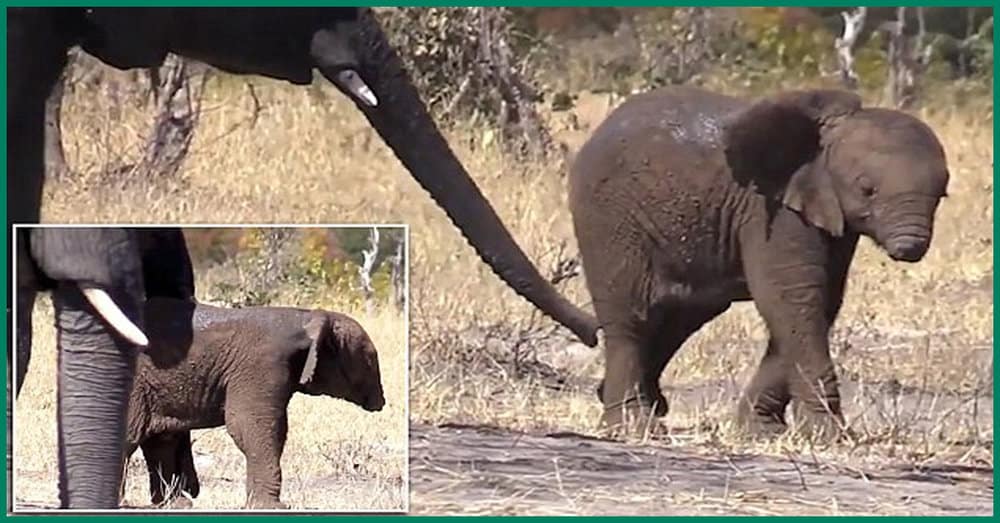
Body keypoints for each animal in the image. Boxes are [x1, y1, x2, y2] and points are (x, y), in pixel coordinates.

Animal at [121, 297, 386, 509]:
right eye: (370, 358)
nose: (381, 402)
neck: (306, 317)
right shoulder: (262, 365)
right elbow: (251, 426)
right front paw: (273, 508)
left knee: (160, 441)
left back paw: (175, 505)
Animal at [568, 86, 950, 437]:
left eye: (942, 195)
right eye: (867, 189)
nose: (909, 248)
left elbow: (820, 302)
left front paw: (761, 431)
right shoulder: (770, 211)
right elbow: (791, 297)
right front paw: (829, 436)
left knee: (680, 315)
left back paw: (636, 404)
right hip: (607, 216)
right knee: (631, 315)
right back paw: (634, 426)